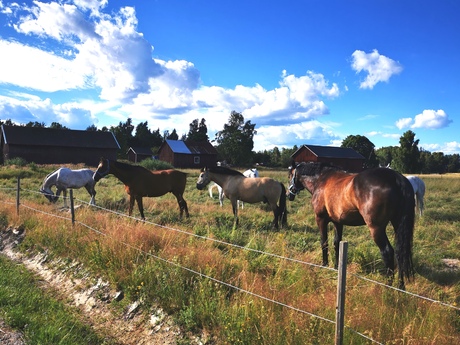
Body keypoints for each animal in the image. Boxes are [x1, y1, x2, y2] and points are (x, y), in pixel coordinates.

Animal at [288, 161, 414, 290]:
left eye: (290, 175)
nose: (289, 195)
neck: (321, 179)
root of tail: (395, 177)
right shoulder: (338, 222)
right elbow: (336, 243)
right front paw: (336, 267)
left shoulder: (320, 219)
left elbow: (324, 242)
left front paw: (324, 265)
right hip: (397, 225)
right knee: (400, 252)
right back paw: (400, 286)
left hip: (376, 229)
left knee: (387, 252)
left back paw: (388, 286)